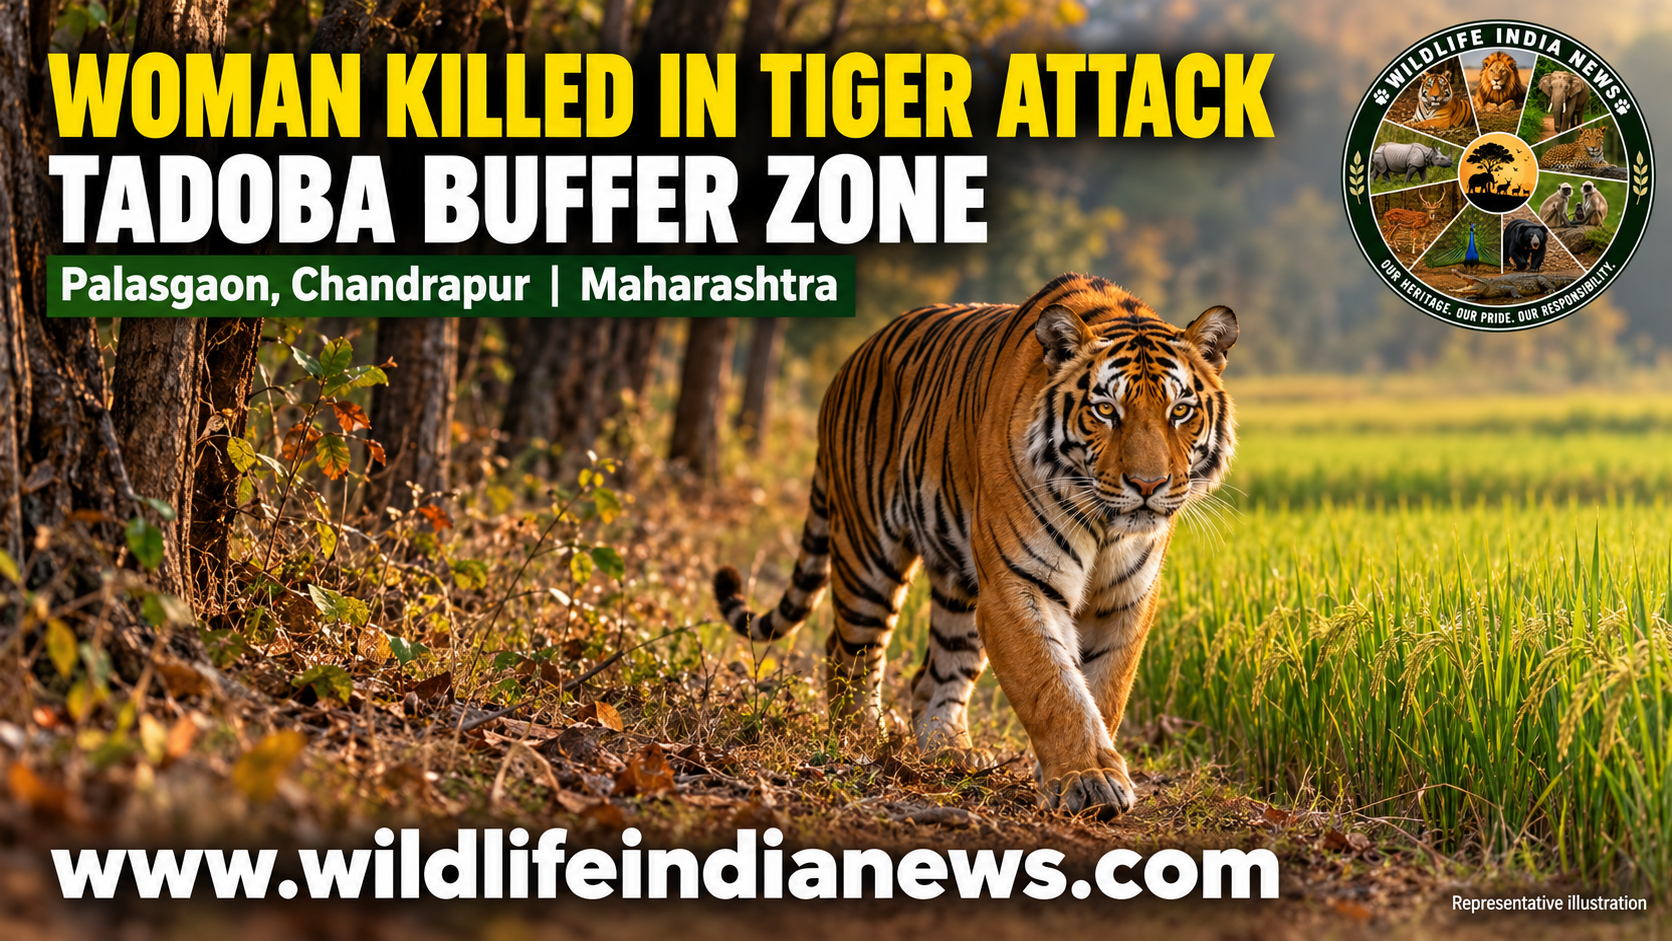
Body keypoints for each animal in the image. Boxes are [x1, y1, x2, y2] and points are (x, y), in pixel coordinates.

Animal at [713, 274, 1239, 817]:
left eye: (1180, 411)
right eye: (1105, 410)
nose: (1148, 484)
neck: (1106, 524)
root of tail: (851, 361)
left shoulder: (1126, 597)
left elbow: (1104, 688)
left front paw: (1083, 770)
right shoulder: (1018, 585)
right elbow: (1054, 686)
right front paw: (1088, 779)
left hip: (959, 580)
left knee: (934, 672)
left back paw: (950, 751)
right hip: (867, 554)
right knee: (848, 651)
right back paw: (861, 741)